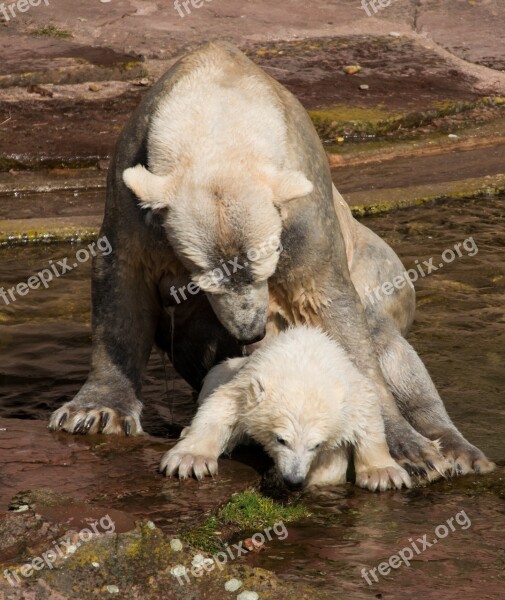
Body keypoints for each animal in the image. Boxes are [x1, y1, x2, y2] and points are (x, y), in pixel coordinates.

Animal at [50, 42, 492, 478]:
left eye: (266, 267)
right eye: (202, 281)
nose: (250, 332)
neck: (219, 99)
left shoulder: (305, 212)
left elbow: (333, 308)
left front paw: (410, 451)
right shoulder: (129, 192)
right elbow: (122, 282)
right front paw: (95, 411)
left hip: (384, 278)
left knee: (391, 350)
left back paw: (459, 450)